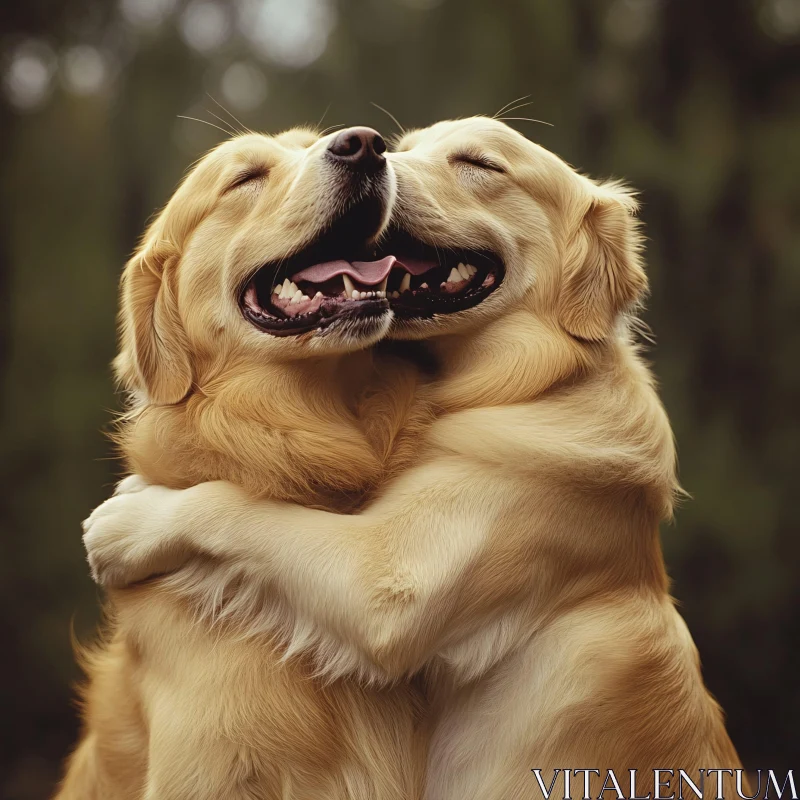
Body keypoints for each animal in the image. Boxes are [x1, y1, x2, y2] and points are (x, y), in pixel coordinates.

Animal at [83, 117, 752, 800]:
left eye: (479, 163)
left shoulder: (393, 580)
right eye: (245, 177)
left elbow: (241, 512)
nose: (366, 145)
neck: (528, 383)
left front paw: (128, 523)